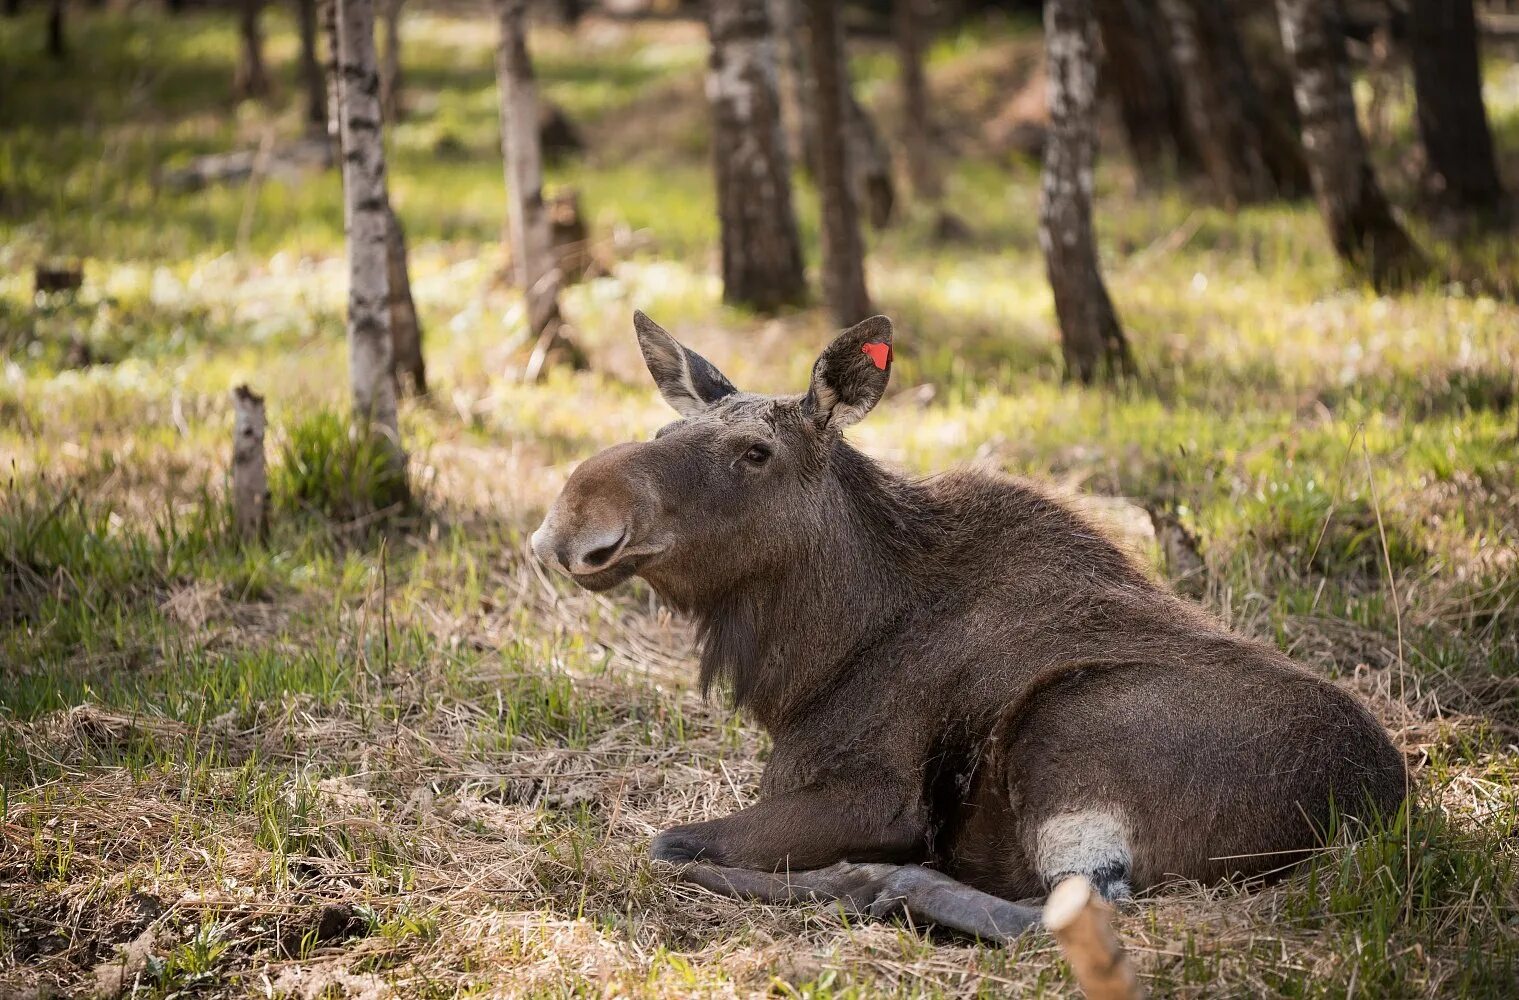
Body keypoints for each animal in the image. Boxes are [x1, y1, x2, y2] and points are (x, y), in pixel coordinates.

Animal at [528, 316, 1403, 936]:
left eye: (755, 452)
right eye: (665, 432)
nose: (572, 518)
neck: (811, 660)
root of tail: (1373, 808)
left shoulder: (870, 797)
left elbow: (663, 842)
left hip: (1069, 731)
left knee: (1073, 915)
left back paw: (873, 885)